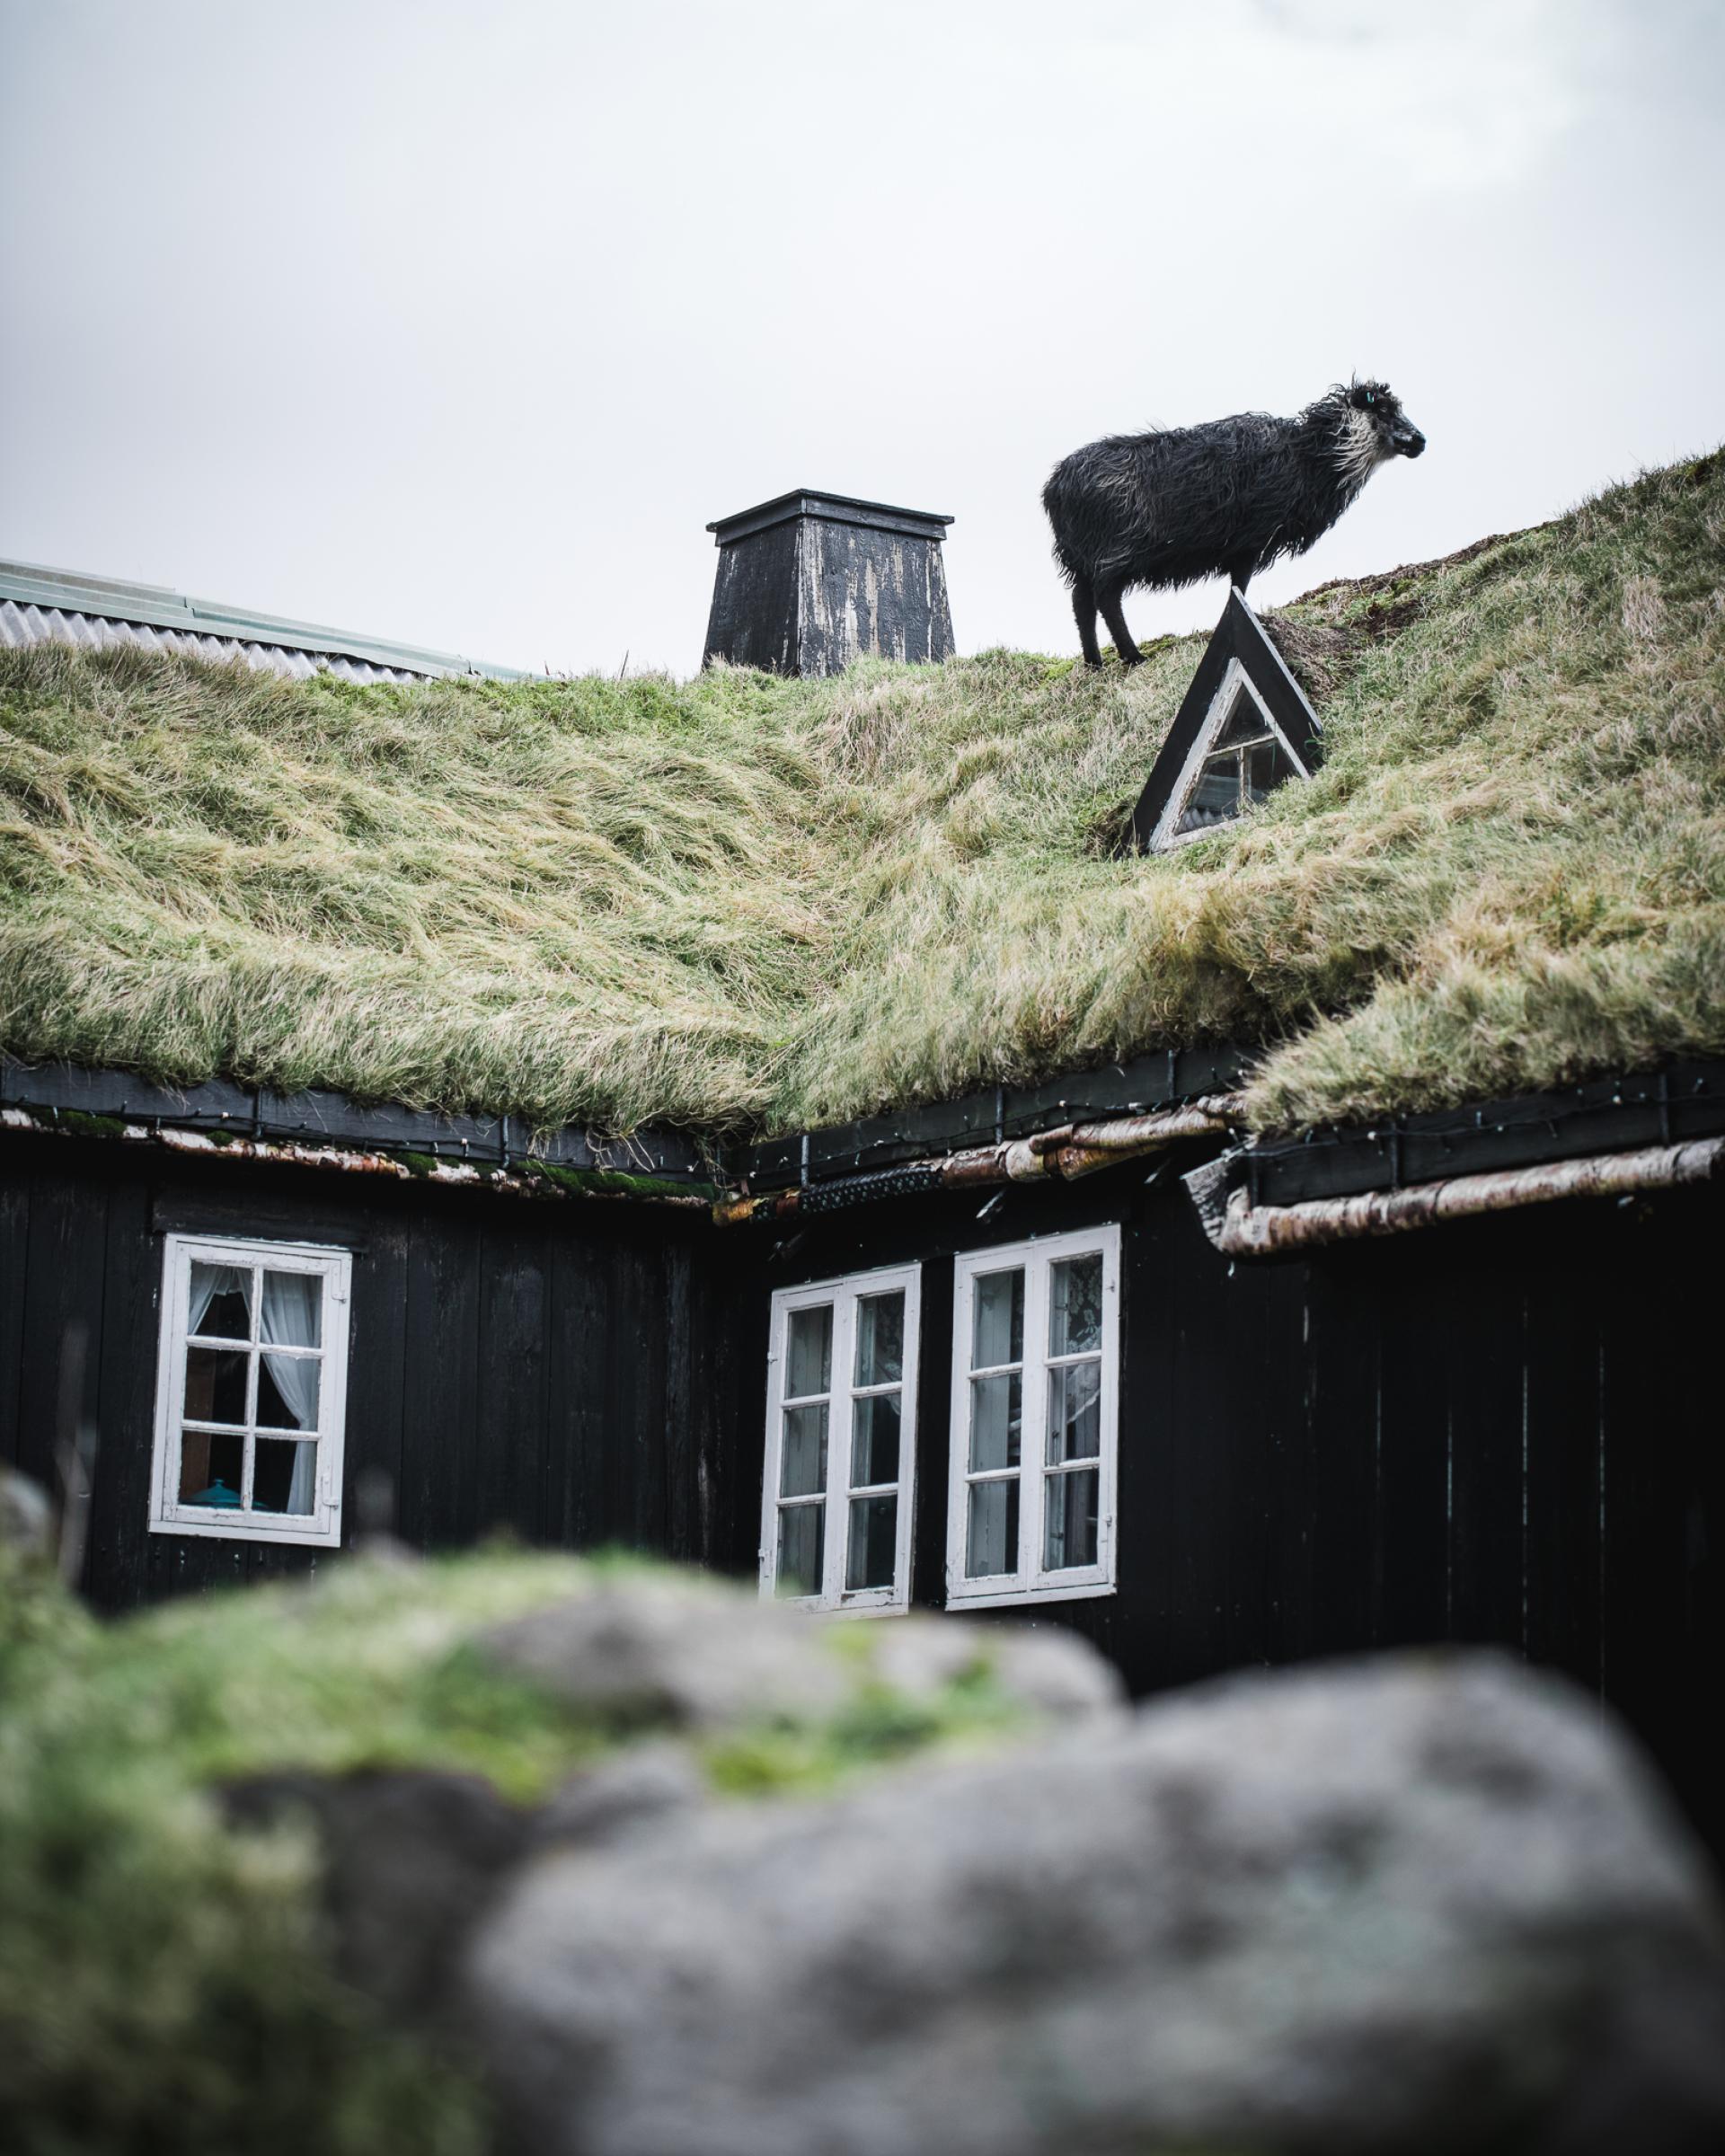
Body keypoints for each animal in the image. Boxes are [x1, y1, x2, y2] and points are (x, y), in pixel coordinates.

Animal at [1039, 379, 1431, 664]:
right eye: (1383, 408)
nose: (1420, 441)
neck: (1310, 456)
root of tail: (1055, 487)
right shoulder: (1250, 541)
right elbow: (1239, 585)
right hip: (1117, 548)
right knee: (1106, 598)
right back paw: (1132, 656)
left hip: (1081, 555)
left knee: (1081, 601)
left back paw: (1094, 662)